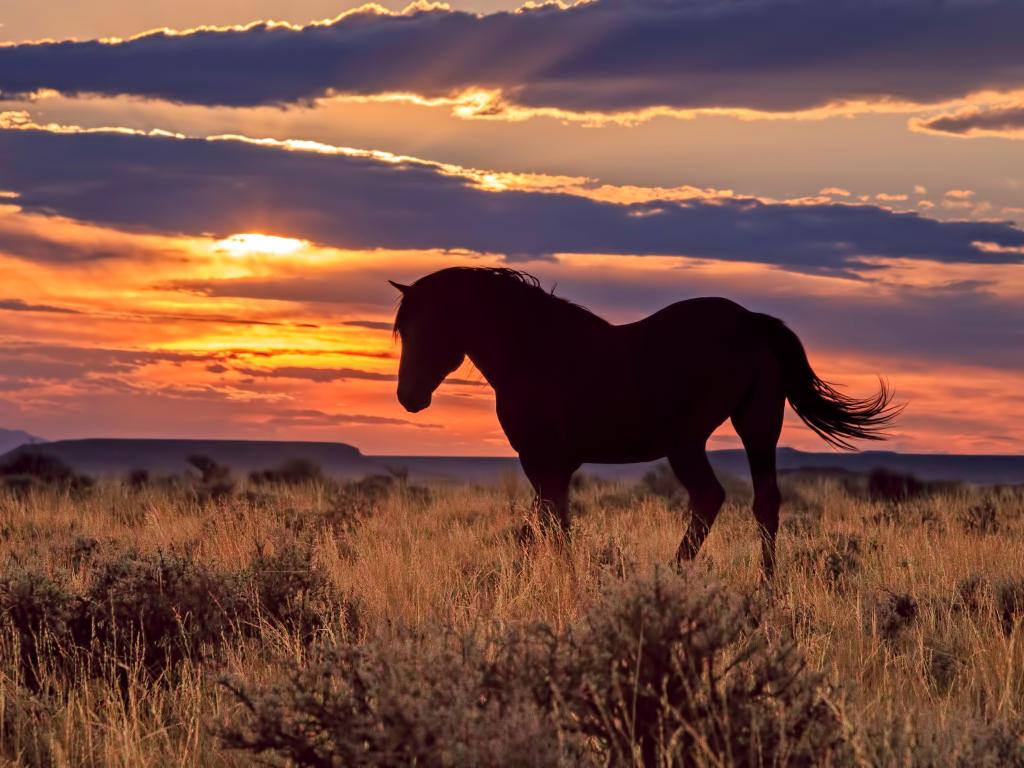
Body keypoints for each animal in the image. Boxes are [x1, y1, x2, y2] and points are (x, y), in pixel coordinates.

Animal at [389, 268, 897, 581]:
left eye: (429, 326)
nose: (408, 397)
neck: (535, 351)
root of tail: (751, 321)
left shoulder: (543, 463)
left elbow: (548, 529)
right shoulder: (556, 468)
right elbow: (547, 527)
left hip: (687, 441)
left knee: (709, 498)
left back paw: (673, 576)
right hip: (757, 425)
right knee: (765, 502)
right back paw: (765, 588)